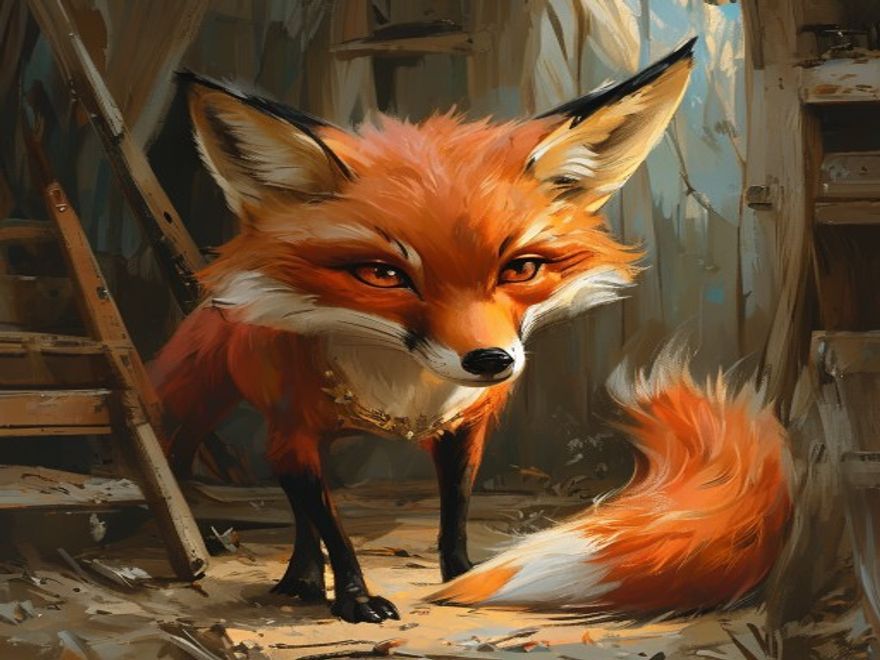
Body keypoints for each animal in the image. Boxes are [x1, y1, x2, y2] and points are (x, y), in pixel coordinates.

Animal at [150, 36, 789, 623]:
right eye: (383, 274)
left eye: (521, 268)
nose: (490, 361)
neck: (403, 393)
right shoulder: (296, 437)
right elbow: (335, 531)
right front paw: (355, 598)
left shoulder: (466, 429)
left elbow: (453, 515)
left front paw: (459, 575)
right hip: (213, 413)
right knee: (289, 508)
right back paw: (299, 577)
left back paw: (304, 578)